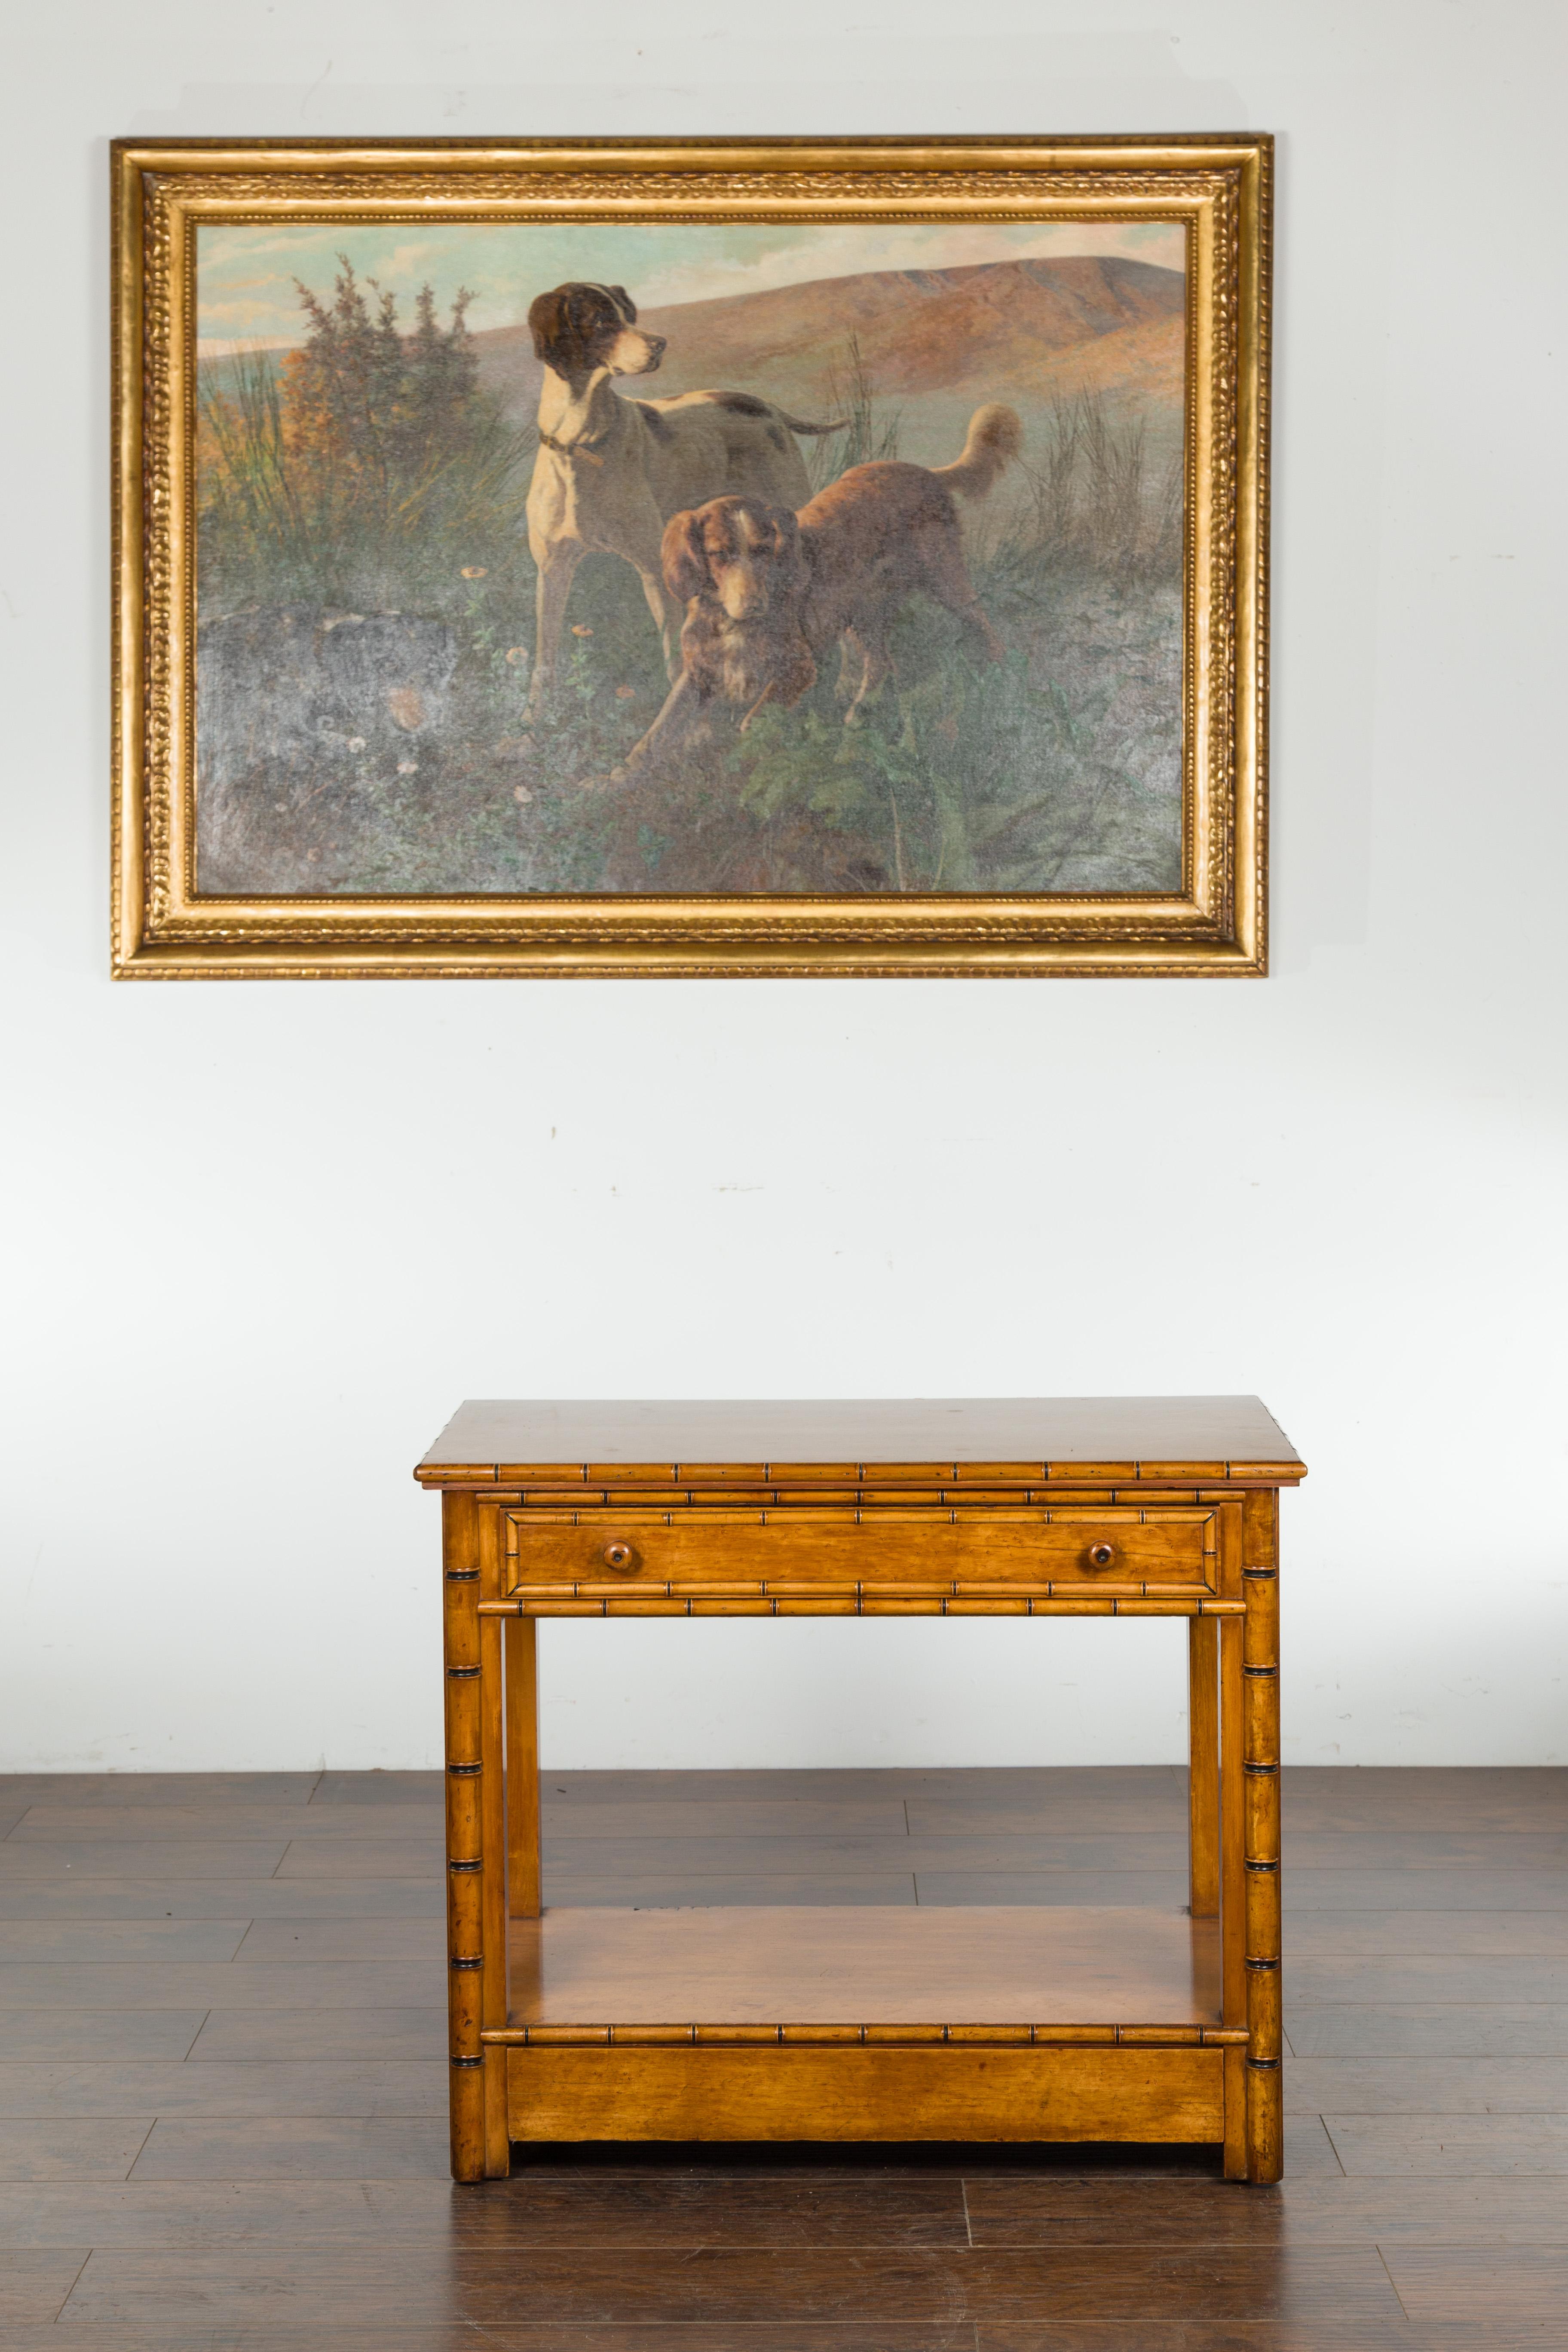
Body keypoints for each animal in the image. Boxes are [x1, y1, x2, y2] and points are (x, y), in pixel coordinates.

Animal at [527, 283, 846, 710]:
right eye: (601, 320)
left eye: (628, 314)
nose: (660, 344)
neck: (582, 442)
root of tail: (765, 406)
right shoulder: (552, 571)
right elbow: (544, 654)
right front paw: (533, 717)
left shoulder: (652, 571)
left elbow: (674, 657)